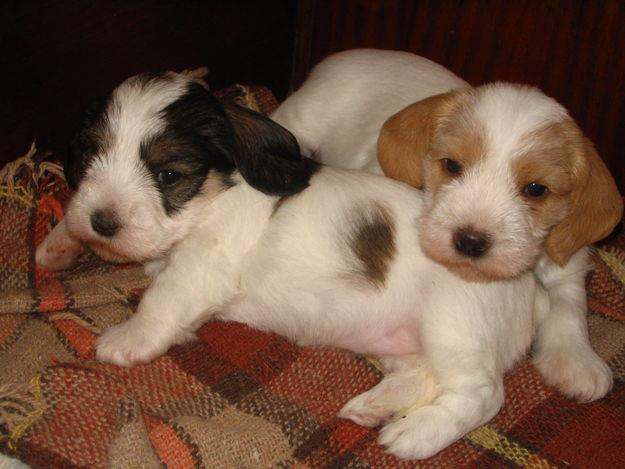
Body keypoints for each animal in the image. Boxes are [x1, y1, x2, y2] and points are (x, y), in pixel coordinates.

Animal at [36, 71, 548, 458]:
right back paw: (377, 406)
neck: (217, 194)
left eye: (168, 174)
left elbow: (162, 299)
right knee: (421, 375)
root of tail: (527, 289)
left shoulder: (204, 264)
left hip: (453, 328)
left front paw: (125, 340)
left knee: (482, 394)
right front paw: (60, 245)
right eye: (90, 157)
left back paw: (417, 433)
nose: (102, 222)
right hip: (403, 342)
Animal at [270, 47, 620, 402]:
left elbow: (568, 304)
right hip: (303, 118)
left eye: (536, 189)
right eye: (452, 165)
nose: (470, 241)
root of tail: (340, 58)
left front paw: (577, 361)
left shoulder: (567, 262)